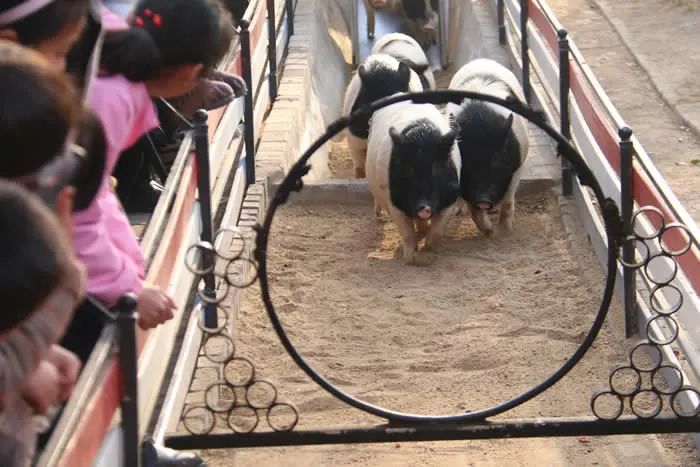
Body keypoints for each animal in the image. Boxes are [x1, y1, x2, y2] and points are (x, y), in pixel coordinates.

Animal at [366, 100, 460, 266]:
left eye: (436, 168)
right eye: (409, 170)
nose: (424, 207)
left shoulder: (451, 198)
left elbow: (437, 231)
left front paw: (429, 252)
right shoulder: (393, 201)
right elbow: (407, 233)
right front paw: (413, 258)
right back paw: (380, 217)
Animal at [448, 58, 532, 236]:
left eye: (497, 157)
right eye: (466, 159)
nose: (483, 200)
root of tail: (481, 60)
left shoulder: (517, 166)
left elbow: (508, 200)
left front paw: (505, 232)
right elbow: (474, 211)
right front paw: (489, 232)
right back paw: (460, 211)